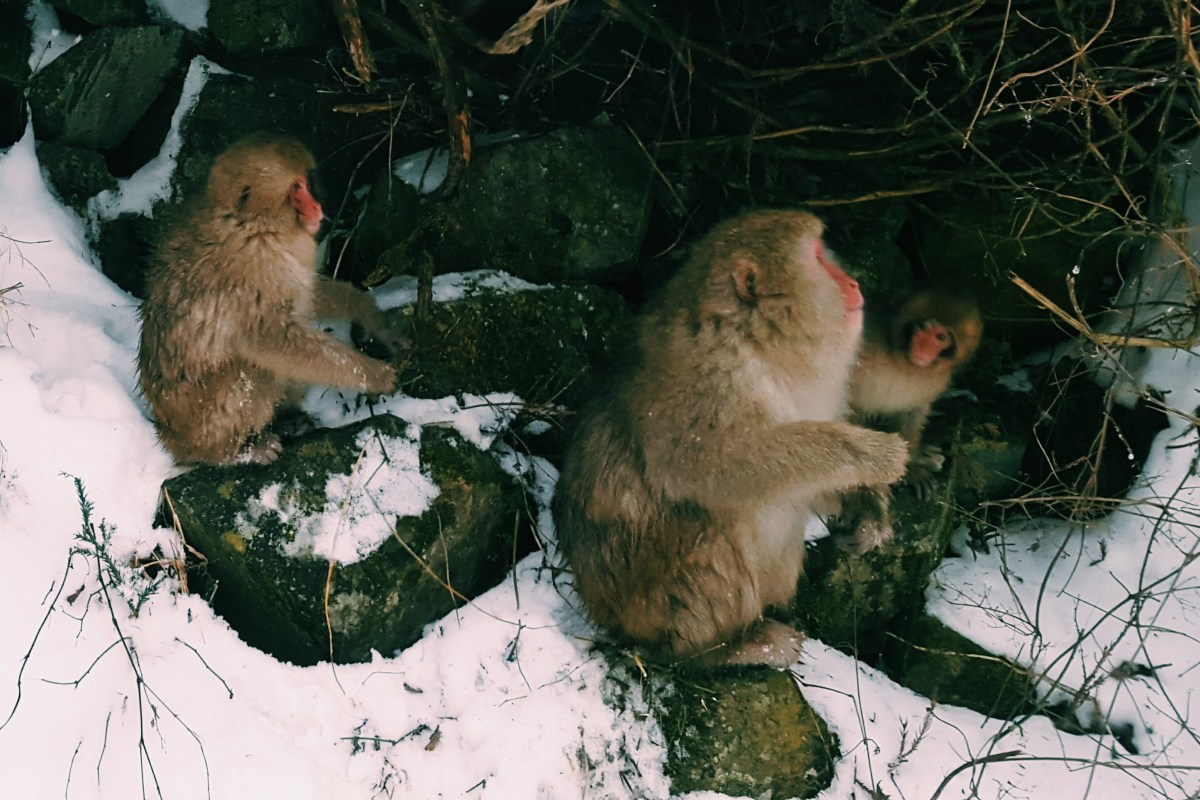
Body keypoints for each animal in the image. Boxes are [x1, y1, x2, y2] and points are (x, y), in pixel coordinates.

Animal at [137, 132, 399, 466]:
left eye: (306, 182)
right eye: (296, 189)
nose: (317, 207)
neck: (256, 223)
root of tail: (170, 437)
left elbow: (304, 297)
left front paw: (370, 315)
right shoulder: (255, 266)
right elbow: (270, 340)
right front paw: (373, 374)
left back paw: (288, 421)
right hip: (202, 421)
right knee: (255, 367)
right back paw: (236, 452)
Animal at [551, 210, 909, 668]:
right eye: (818, 257)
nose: (852, 283)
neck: (760, 343)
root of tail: (608, 618)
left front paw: (865, 507)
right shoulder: (705, 383)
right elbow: (705, 468)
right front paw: (867, 455)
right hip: (654, 609)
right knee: (715, 526)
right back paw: (725, 648)